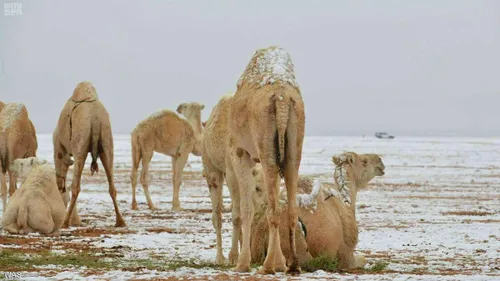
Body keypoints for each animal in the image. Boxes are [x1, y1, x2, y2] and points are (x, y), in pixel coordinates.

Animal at [52, 80, 126, 226]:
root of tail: (95, 117)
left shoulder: (59, 145)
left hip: (81, 138)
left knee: (75, 185)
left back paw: (65, 222)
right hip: (106, 137)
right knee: (111, 183)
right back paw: (120, 221)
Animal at [250, 152, 386, 270]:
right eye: (364, 161)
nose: (380, 160)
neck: (346, 205)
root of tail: (261, 231)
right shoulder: (345, 253)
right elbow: (361, 259)